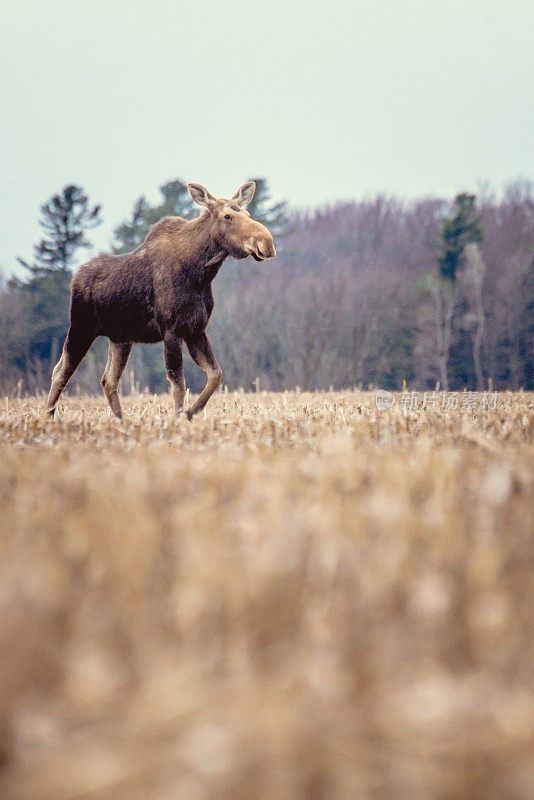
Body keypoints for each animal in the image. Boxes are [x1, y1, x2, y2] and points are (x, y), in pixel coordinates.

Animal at [46, 180, 278, 418]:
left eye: (247, 213)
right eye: (228, 216)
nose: (266, 243)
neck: (201, 273)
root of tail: (75, 277)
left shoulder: (196, 330)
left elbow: (215, 375)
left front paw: (190, 412)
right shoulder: (171, 331)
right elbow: (178, 384)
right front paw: (178, 417)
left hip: (120, 339)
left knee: (108, 380)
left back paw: (121, 421)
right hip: (81, 328)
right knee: (60, 372)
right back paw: (48, 416)